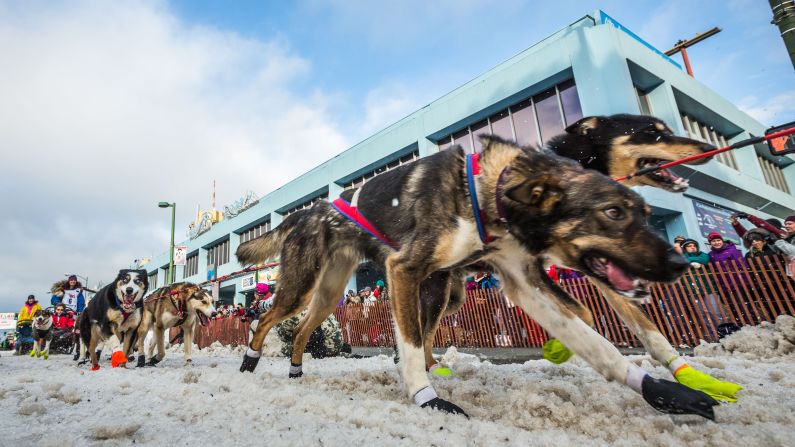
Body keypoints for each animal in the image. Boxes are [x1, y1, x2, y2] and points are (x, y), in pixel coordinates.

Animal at [239, 115, 720, 420]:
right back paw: (248, 364)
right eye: (613, 213)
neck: (485, 189)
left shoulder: (529, 280)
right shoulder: (404, 269)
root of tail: (303, 213)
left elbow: (594, 336)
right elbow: (409, 344)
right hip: (305, 287)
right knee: (265, 319)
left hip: (337, 292)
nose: (678, 262)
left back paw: (296, 370)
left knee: (304, 327)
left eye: (643, 213)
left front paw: (667, 387)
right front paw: (425, 397)